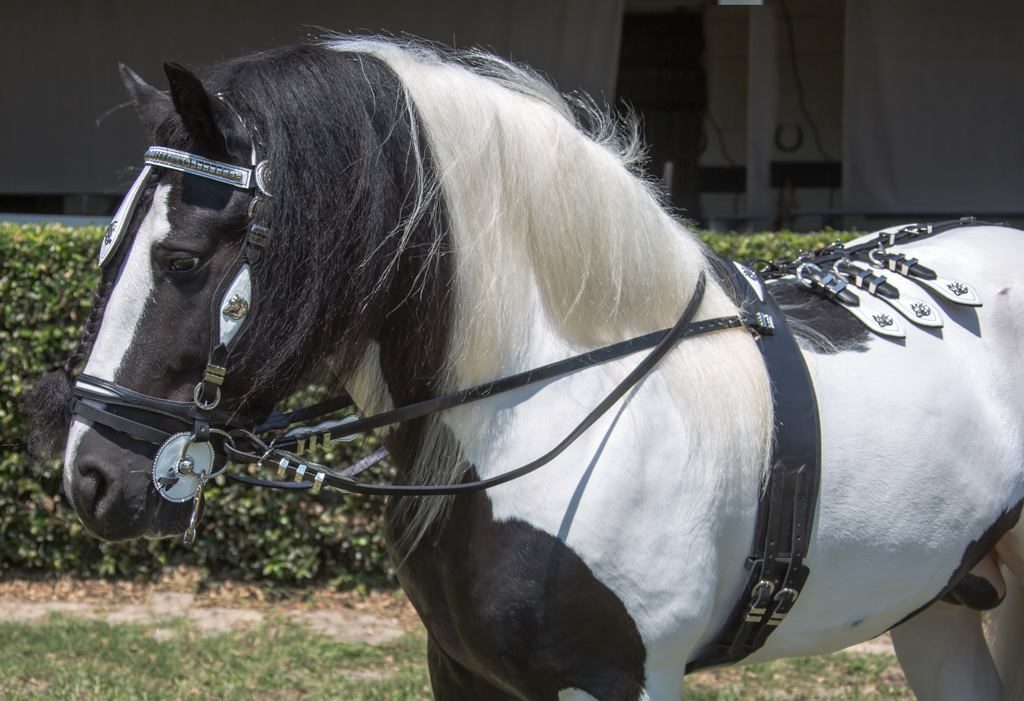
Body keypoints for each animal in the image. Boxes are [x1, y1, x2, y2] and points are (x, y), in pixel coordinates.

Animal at [22, 38, 1024, 699]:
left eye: (182, 259)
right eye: (104, 245)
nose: (89, 475)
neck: (558, 398)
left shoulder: (621, 679)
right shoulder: (464, 669)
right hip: (939, 608)